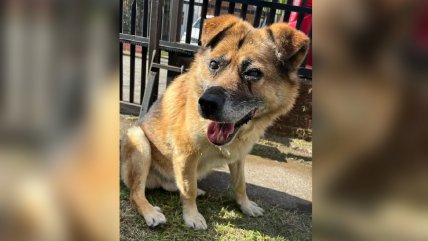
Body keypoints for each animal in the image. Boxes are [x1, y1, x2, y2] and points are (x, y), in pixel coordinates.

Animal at [120, 15, 308, 230]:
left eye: (253, 73)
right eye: (214, 65)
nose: (207, 104)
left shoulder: (238, 157)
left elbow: (240, 184)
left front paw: (245, 206)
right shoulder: (186, 154)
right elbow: (188, 189)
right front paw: (192, 216)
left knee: (171, 185)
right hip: (139, 140)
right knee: (136, 193)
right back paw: (150, 212)